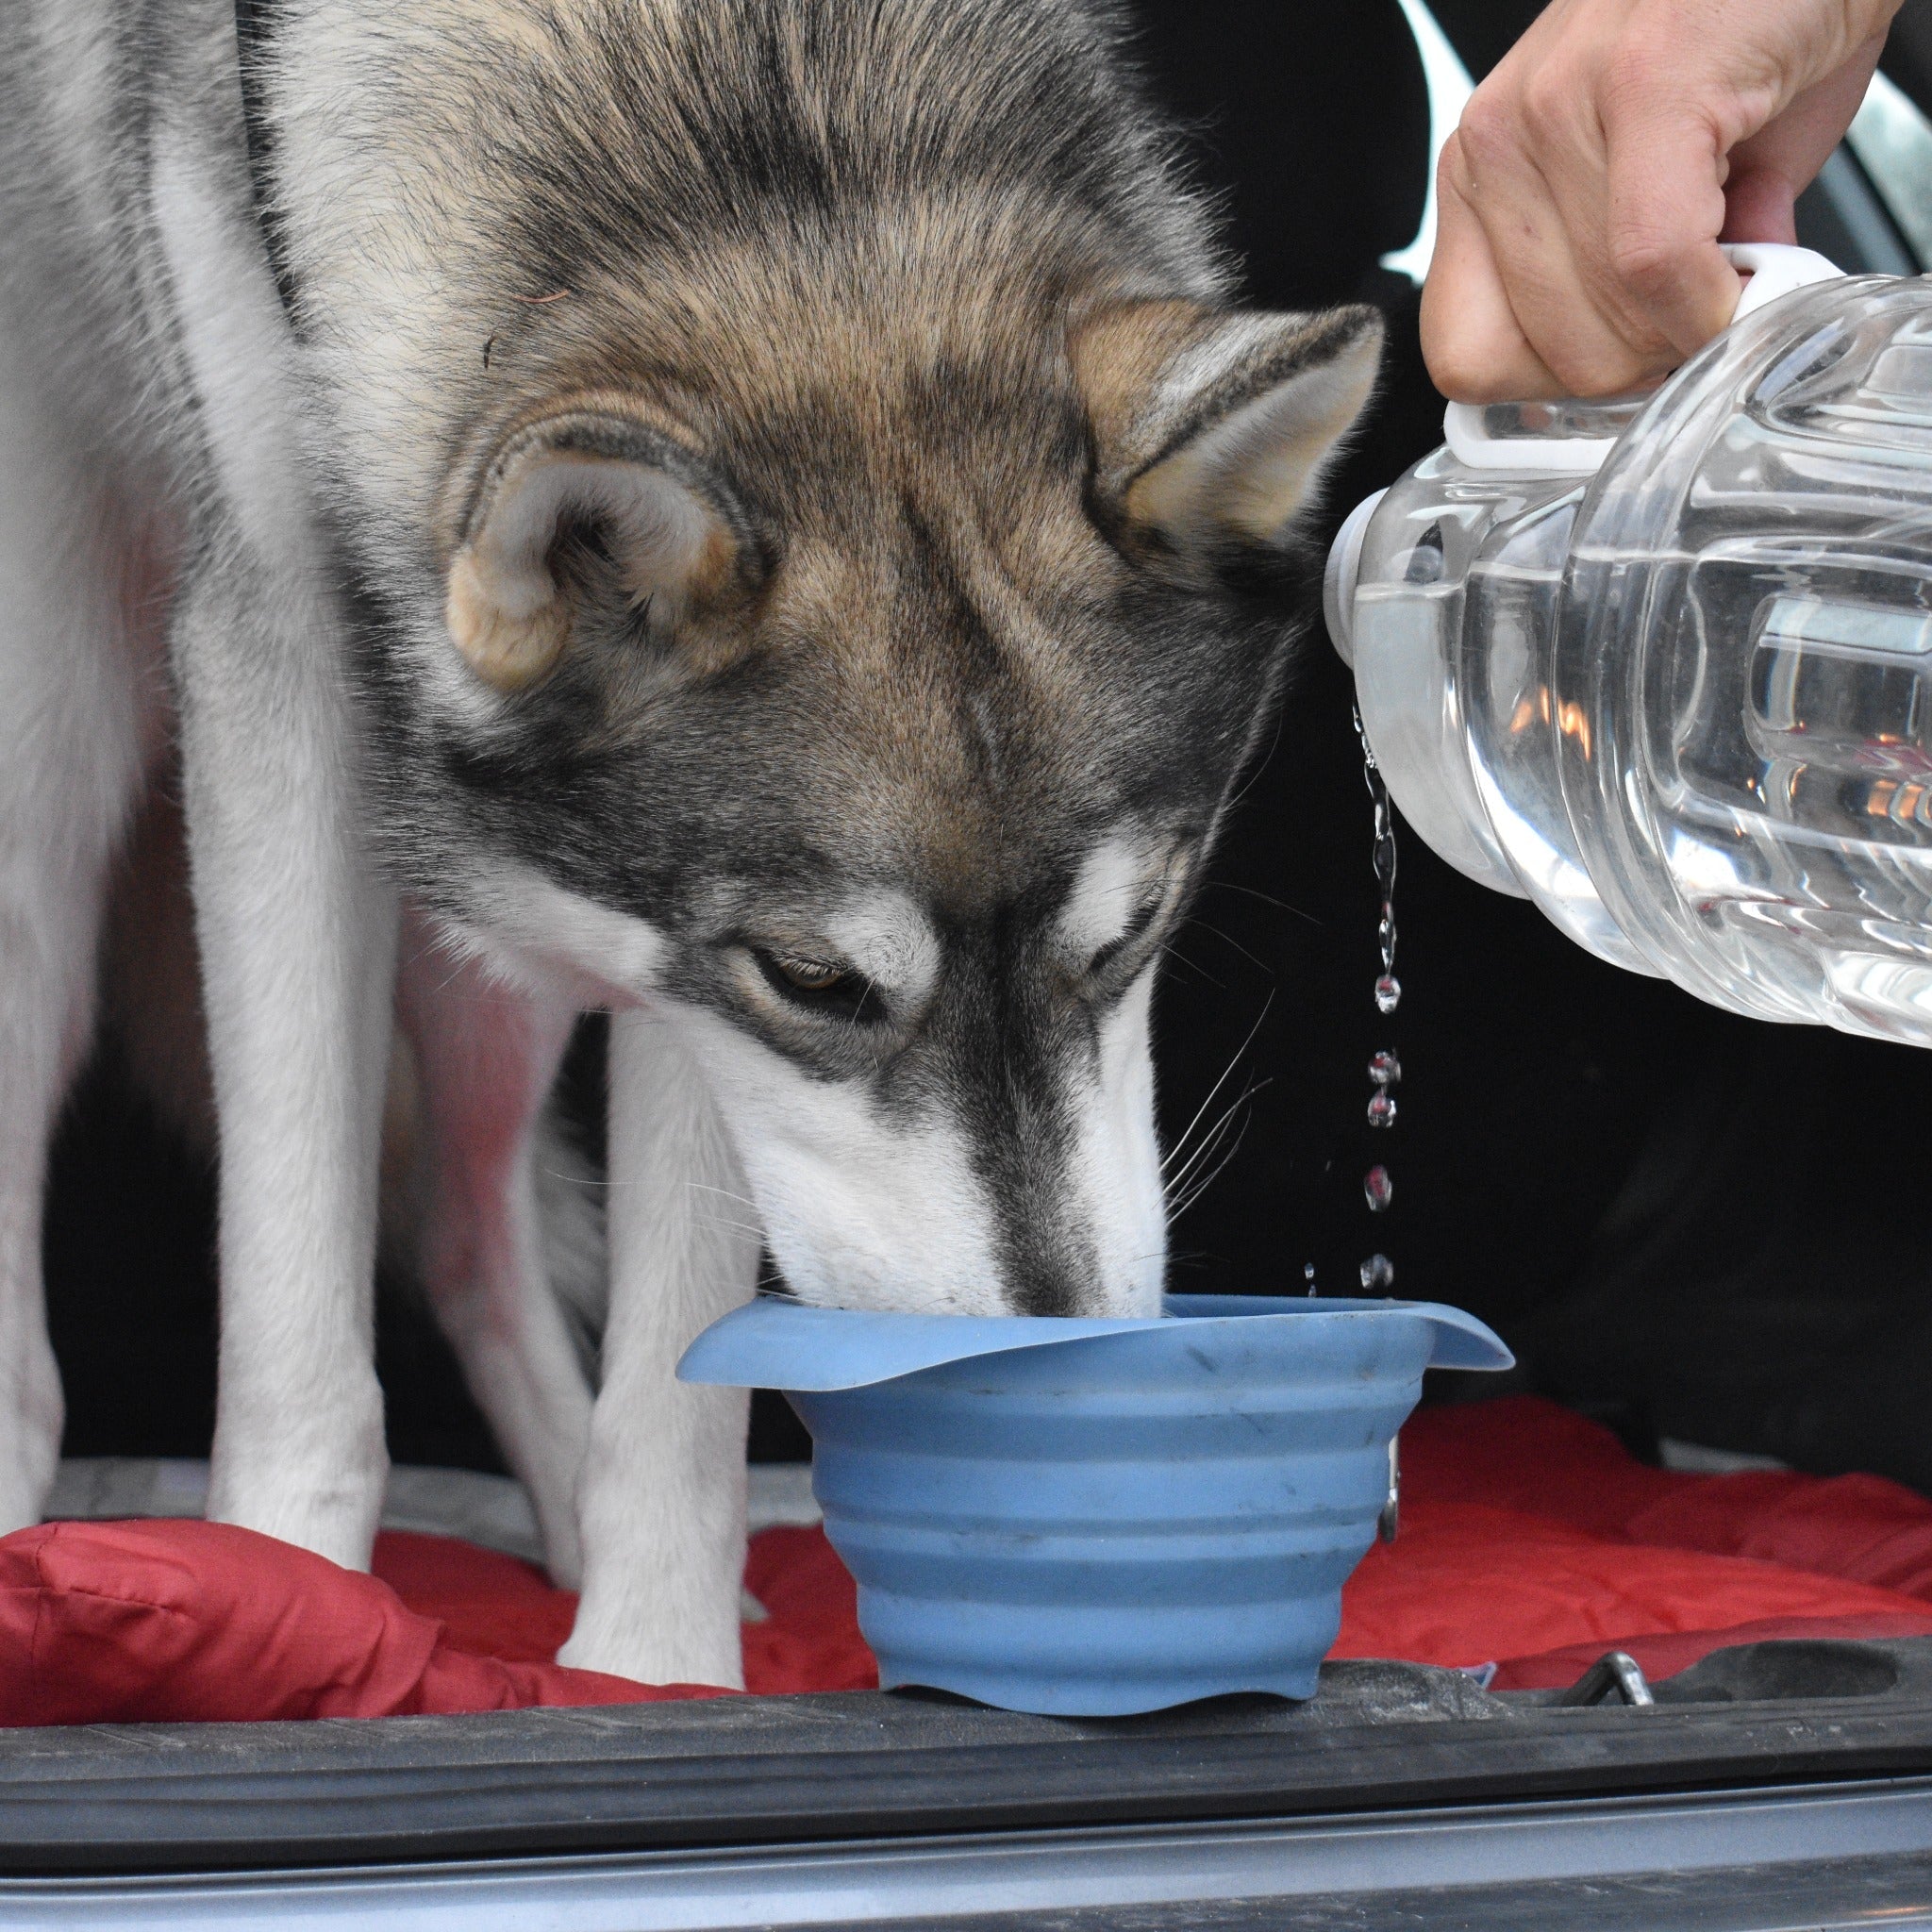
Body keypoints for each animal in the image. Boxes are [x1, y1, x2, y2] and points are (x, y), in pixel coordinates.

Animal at [8, 0, 1383, 1684]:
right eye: (819, 982)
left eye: (1132, 938)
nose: (1044, 1362)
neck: (757, 122)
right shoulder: (281, 687)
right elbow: (295, 1305)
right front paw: (281, 1597)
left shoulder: (663, 985)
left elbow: (672, 1368)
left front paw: (650, 1674)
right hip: (55, 789)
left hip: (495, 963)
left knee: (465, 1233)